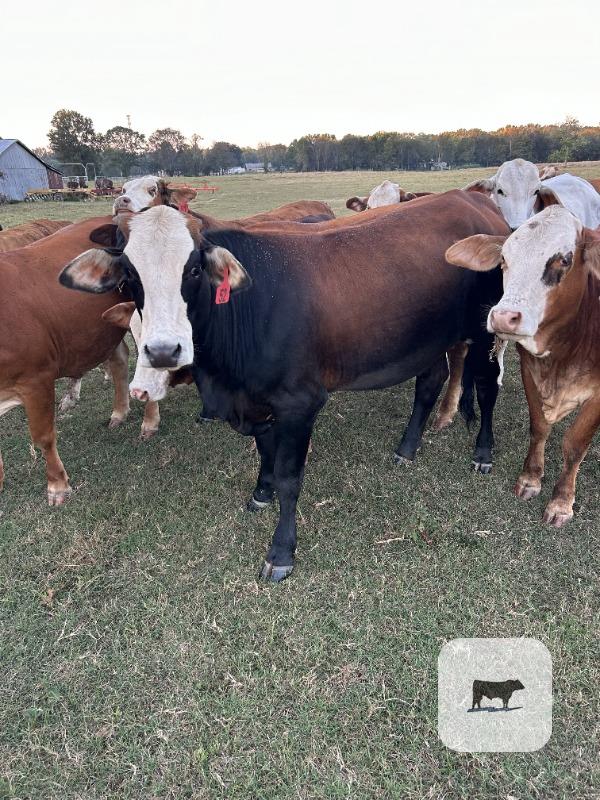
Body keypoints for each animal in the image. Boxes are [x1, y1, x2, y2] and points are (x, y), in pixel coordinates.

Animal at [0, 216, 162, 505]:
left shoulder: (36, 379)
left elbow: (43, 437)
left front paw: (57, 485)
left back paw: (149, 421)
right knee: (119, 360)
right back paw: (119, 412)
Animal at [60, 190, 509, 580]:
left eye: (193, 269)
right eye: (131, 274)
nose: (164, 351)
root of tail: (473, 199)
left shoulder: (299, 403)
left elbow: (291, 477)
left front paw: (280, 552)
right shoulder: (258, 400)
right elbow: (266, 452)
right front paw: (262, 491)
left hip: (485, 328)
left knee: (488, 387)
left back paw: (483, 452)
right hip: (427, 339)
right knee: (429, 383)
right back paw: (407, 448)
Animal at [446, 205, 600, 528]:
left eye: (564, 260)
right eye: (504, 259)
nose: (504, 317)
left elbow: (575, 444)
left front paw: (561, 502)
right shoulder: (530, 371)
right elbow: (539, 427)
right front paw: (531, 479)